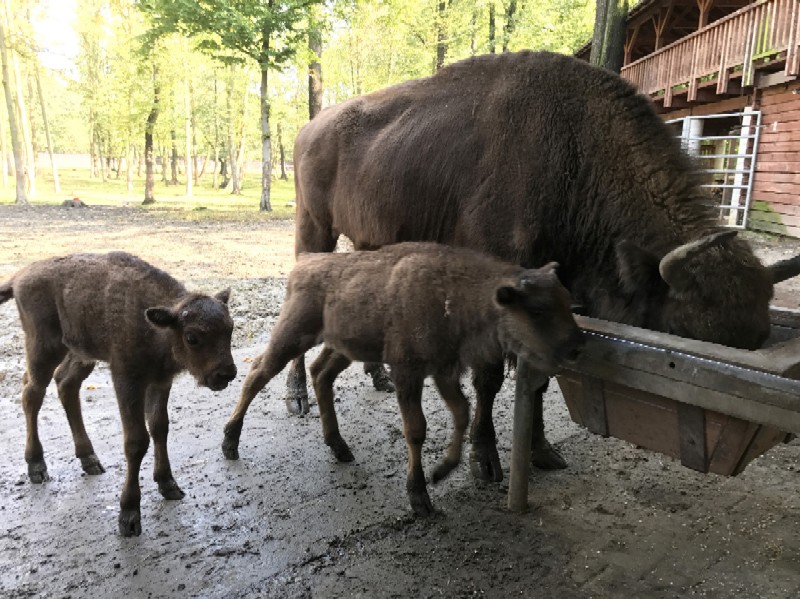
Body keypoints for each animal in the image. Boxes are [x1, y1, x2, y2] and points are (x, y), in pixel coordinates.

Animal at [0, 251, 238, 536]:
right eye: (192, 337)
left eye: (230, 328)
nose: (225, 374)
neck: (158, 328)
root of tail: (19, 276)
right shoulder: (127, 380)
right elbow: (136, 441)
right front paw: (129, 514)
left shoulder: (160, 382)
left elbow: (160, 427)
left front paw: (168, 484)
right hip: (43, 348)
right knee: (31, 393)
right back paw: (36, 465)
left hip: (81, 354)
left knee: (66, 384)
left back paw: (89, 458)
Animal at [222, 243, 584, 516]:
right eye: (537, 311)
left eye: (568, 301)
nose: (576, 348)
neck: (456, 292)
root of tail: (306, 262)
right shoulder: (409, 373)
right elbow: (416, 429)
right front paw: (419, 496)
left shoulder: (444, 373)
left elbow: (462, 413)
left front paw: (441, 471)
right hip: (293, 335)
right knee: (258, 373)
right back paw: (230, 443)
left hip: (343, 347)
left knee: (320, 373)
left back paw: (340, 447)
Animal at [284, 51, 796, 482]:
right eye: (686, 332)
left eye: (758, 338)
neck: (577, 152)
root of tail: (309, 129)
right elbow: (490, 378)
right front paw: (486, 462)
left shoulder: (553, 294)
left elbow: (540, 378)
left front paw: (543, 451)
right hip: (314, 227)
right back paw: (296, 397)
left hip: (367, 240)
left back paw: (379, 377)